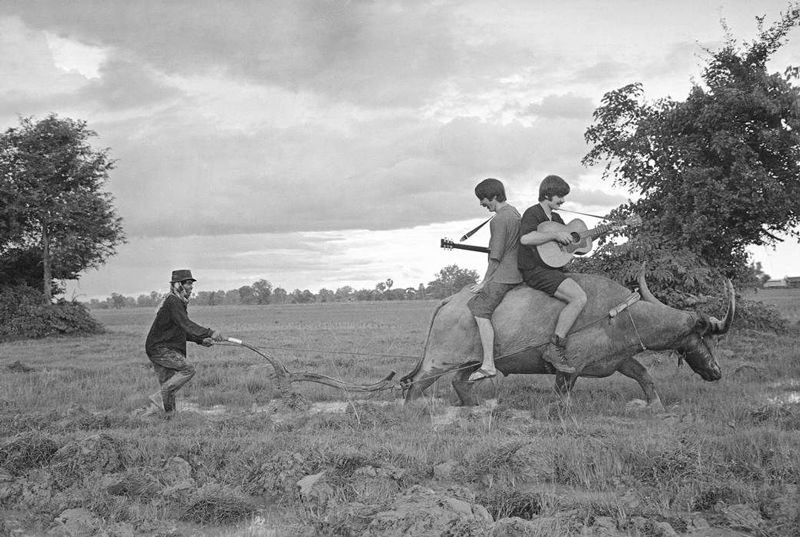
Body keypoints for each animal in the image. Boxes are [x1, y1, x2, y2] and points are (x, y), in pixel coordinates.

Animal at [404, 270, 736, 408]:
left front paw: (654, 403)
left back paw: (474, 406)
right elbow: (563, 393)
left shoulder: (620, 359)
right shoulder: (570, 367)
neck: (618, 315)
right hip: (439, 360)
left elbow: (644, 375)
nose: (717, 371)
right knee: (416, 383)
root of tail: (450, 301)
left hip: (470, 362)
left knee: (459, 382)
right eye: (704, 337)